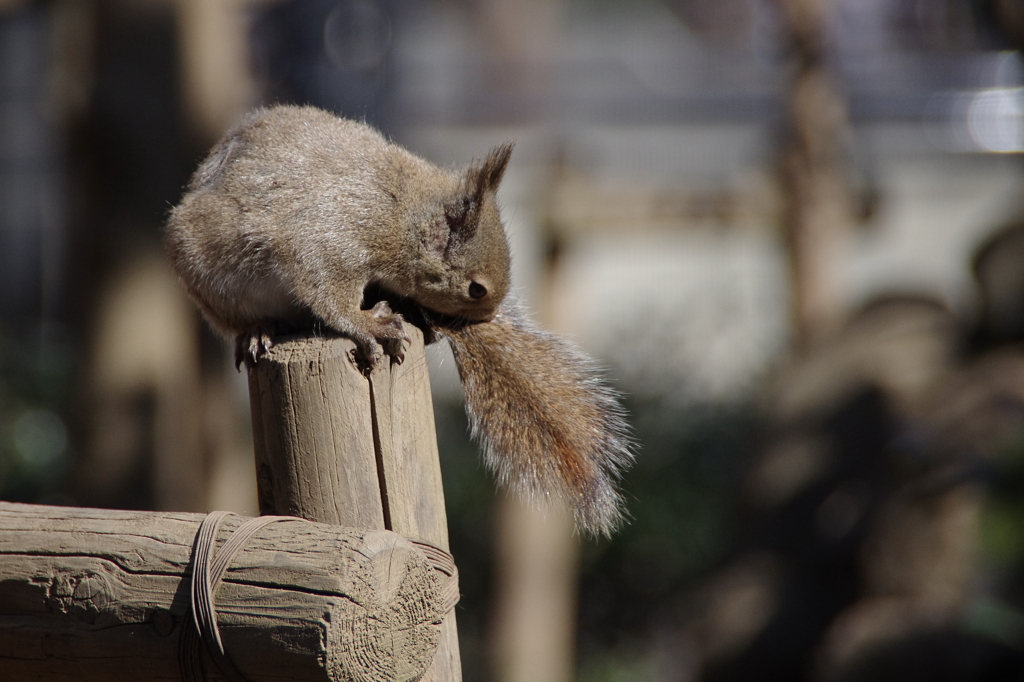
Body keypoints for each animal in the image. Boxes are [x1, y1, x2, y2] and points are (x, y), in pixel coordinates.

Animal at [165, 104, 630, 532]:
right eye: (476, 289)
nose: (485, 319)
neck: (404, 215)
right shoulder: (332, 235)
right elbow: (326, 288)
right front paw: (369, 324)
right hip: (207, 273)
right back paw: (258, 330)